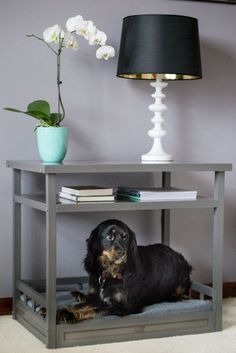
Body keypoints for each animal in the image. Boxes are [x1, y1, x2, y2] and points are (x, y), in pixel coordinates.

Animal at [57, 219, 192, 324]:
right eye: (109, 236)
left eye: (125, 237)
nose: (122, 253)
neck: (110, 272)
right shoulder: (96, 295)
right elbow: (82, 305)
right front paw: (65, 310)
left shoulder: (126, 307)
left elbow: (96, 309)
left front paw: (73, 315)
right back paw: (79, 295)